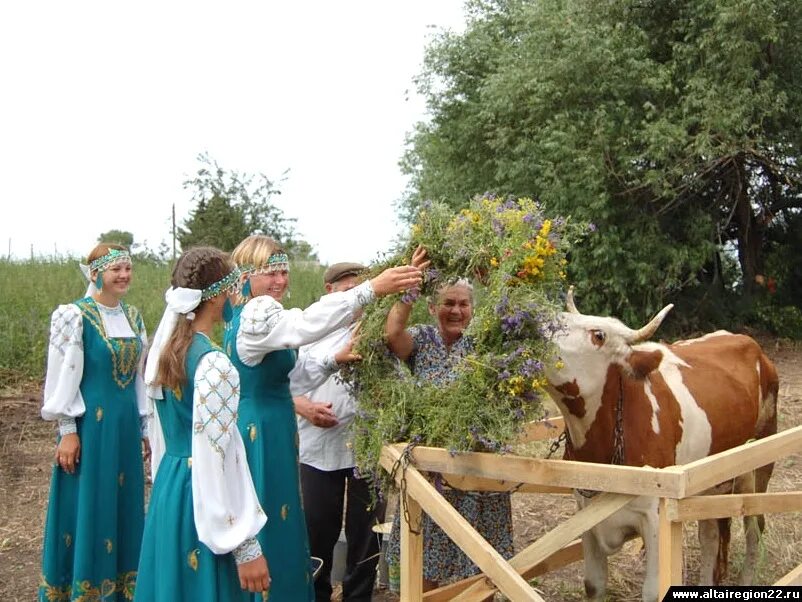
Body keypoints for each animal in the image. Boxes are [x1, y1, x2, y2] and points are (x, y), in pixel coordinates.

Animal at [540, 288, 780, 596]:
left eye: (599, 335)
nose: (532, 323)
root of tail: (747, 341)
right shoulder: (585, 512)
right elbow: (593, 584)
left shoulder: (655, 519)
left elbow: (653, 590)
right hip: (710, 485)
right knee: (710, 536)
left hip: (759, 467)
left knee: (754, 528)